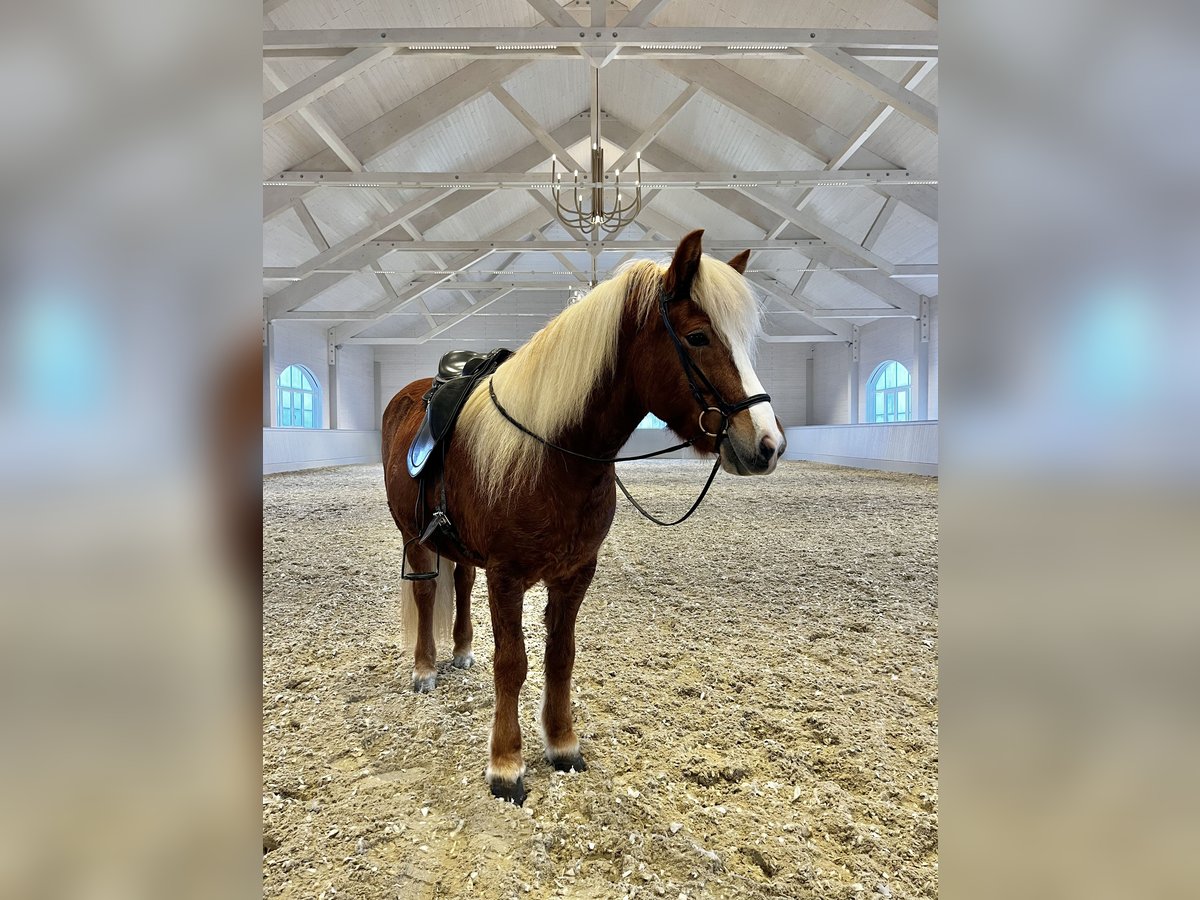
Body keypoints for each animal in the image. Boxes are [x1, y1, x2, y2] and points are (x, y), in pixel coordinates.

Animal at [380, 229, 785, 804]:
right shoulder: (507, 577)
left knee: (459, 581)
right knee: (424, 588)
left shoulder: (574, 574)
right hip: (414, 537)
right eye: (698, 336)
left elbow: (560, 656)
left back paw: (460, 651)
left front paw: (562, 743)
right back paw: (424, 668)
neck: (553, 454)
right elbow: (513, 663)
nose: (767, 445)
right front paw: (506, 765)